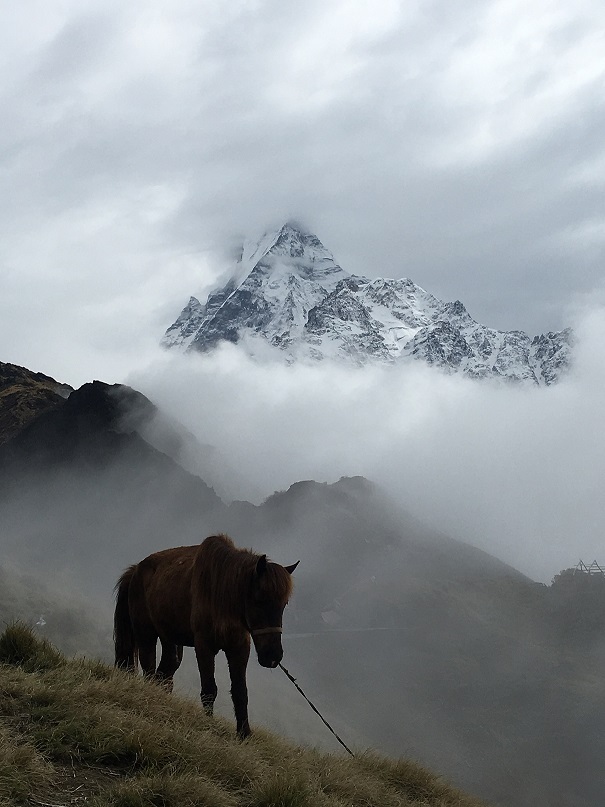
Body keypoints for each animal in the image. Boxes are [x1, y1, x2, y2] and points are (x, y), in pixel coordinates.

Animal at [113, 536, 298, 740]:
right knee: (149, 669)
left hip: (169, 639)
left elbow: (240, 692)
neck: (221, 595)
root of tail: (135, 570)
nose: (273, 656)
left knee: (165, 671)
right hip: (145, 633)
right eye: (259, 600)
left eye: (284, 604)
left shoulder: (239, 648)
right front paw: (208, 725)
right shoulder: (204, 646)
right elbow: (209, 690)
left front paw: (244, 734)